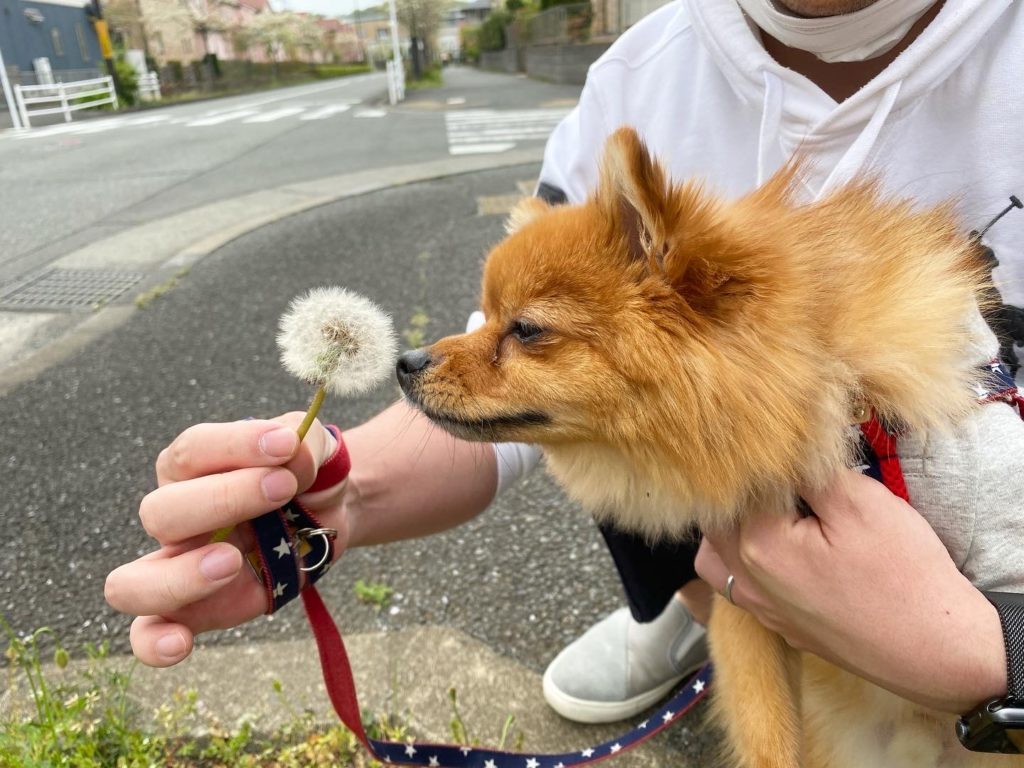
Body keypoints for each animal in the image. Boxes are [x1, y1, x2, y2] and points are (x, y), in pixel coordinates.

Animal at [397, 128, 1024, 768]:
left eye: (524, 330)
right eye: (484, 318)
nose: (405, 361)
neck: (844, 404)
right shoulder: (745, 605)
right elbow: (768, 740)